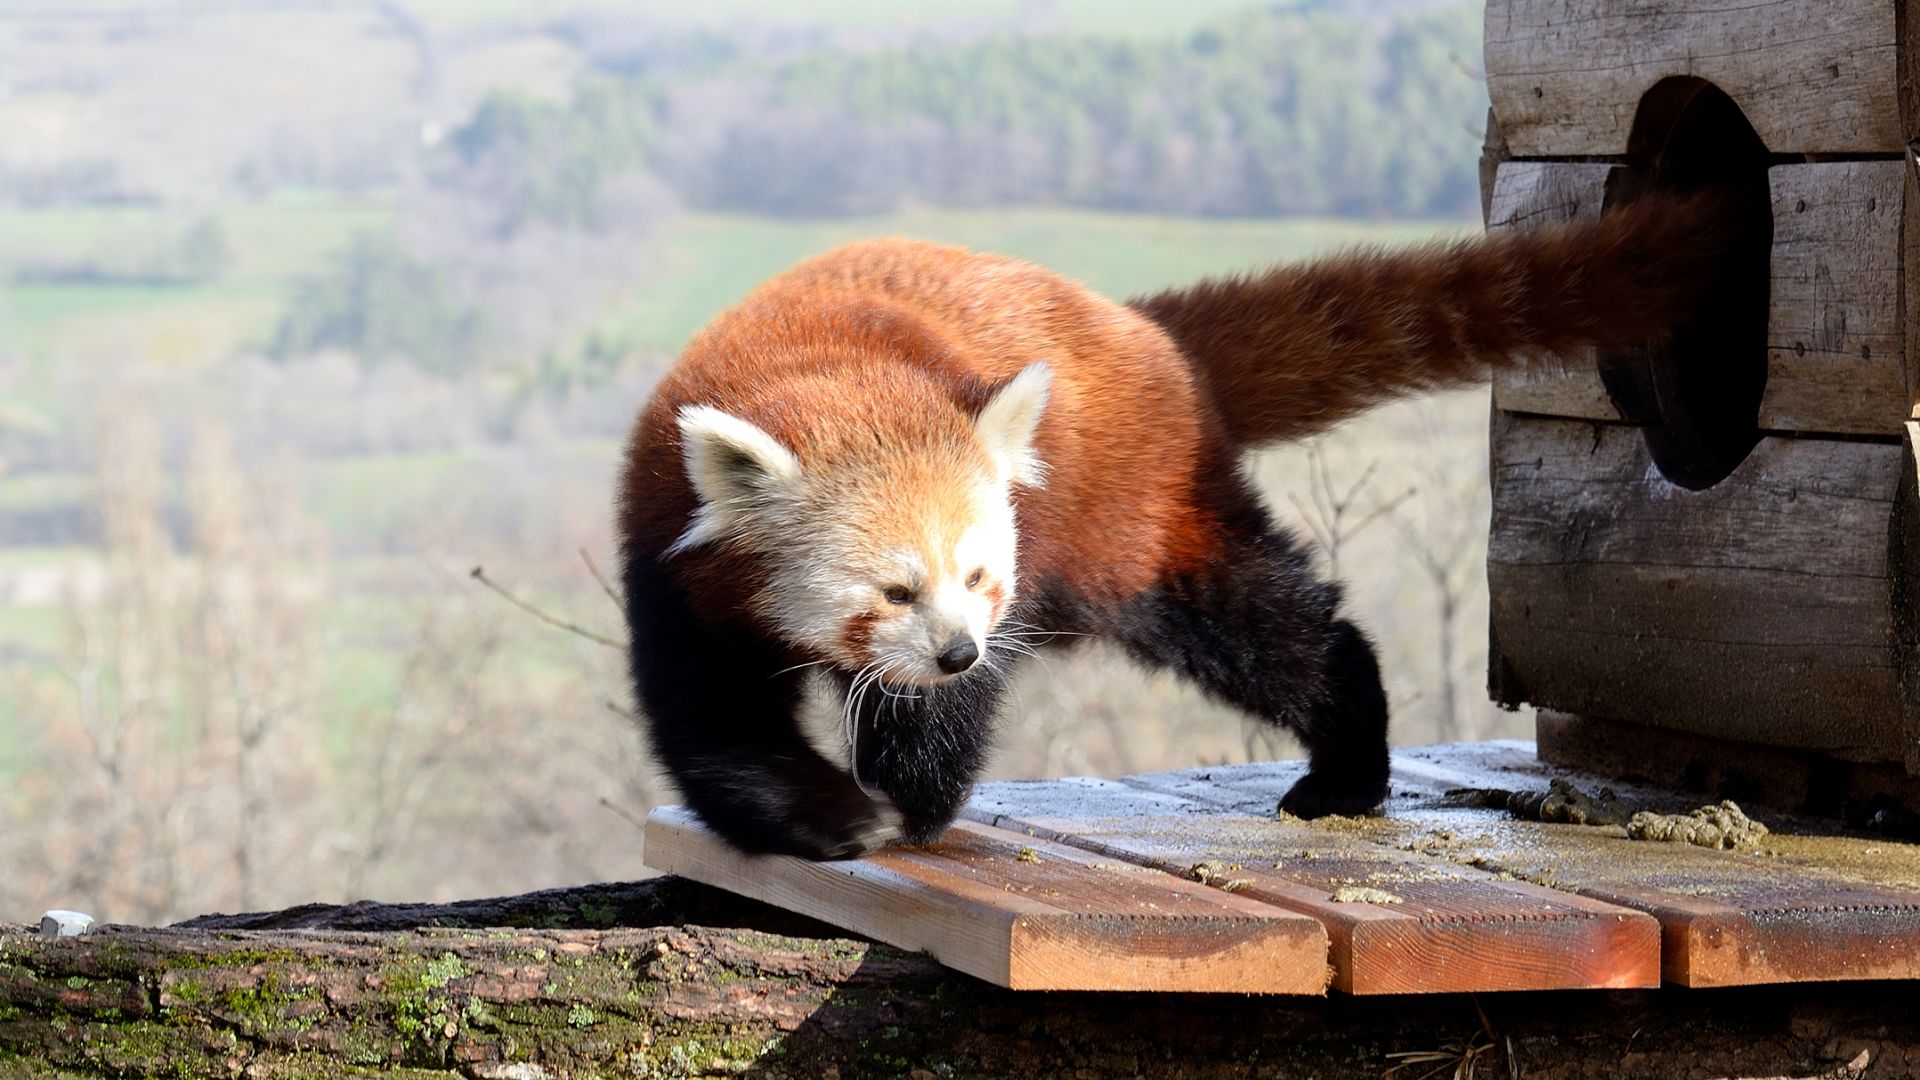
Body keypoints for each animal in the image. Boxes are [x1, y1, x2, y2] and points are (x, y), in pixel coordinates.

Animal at [614, 191, 1743, 849]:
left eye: (978, 576)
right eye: (893, 589)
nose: (957, 650)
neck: (827, 362)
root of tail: (1144, 329)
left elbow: (938, 719)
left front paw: (911, 797)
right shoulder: (670, 561)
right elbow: (713, 719)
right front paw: (821, 810)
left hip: (1138, 511)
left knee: (1271, 628)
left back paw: (1345, 765)